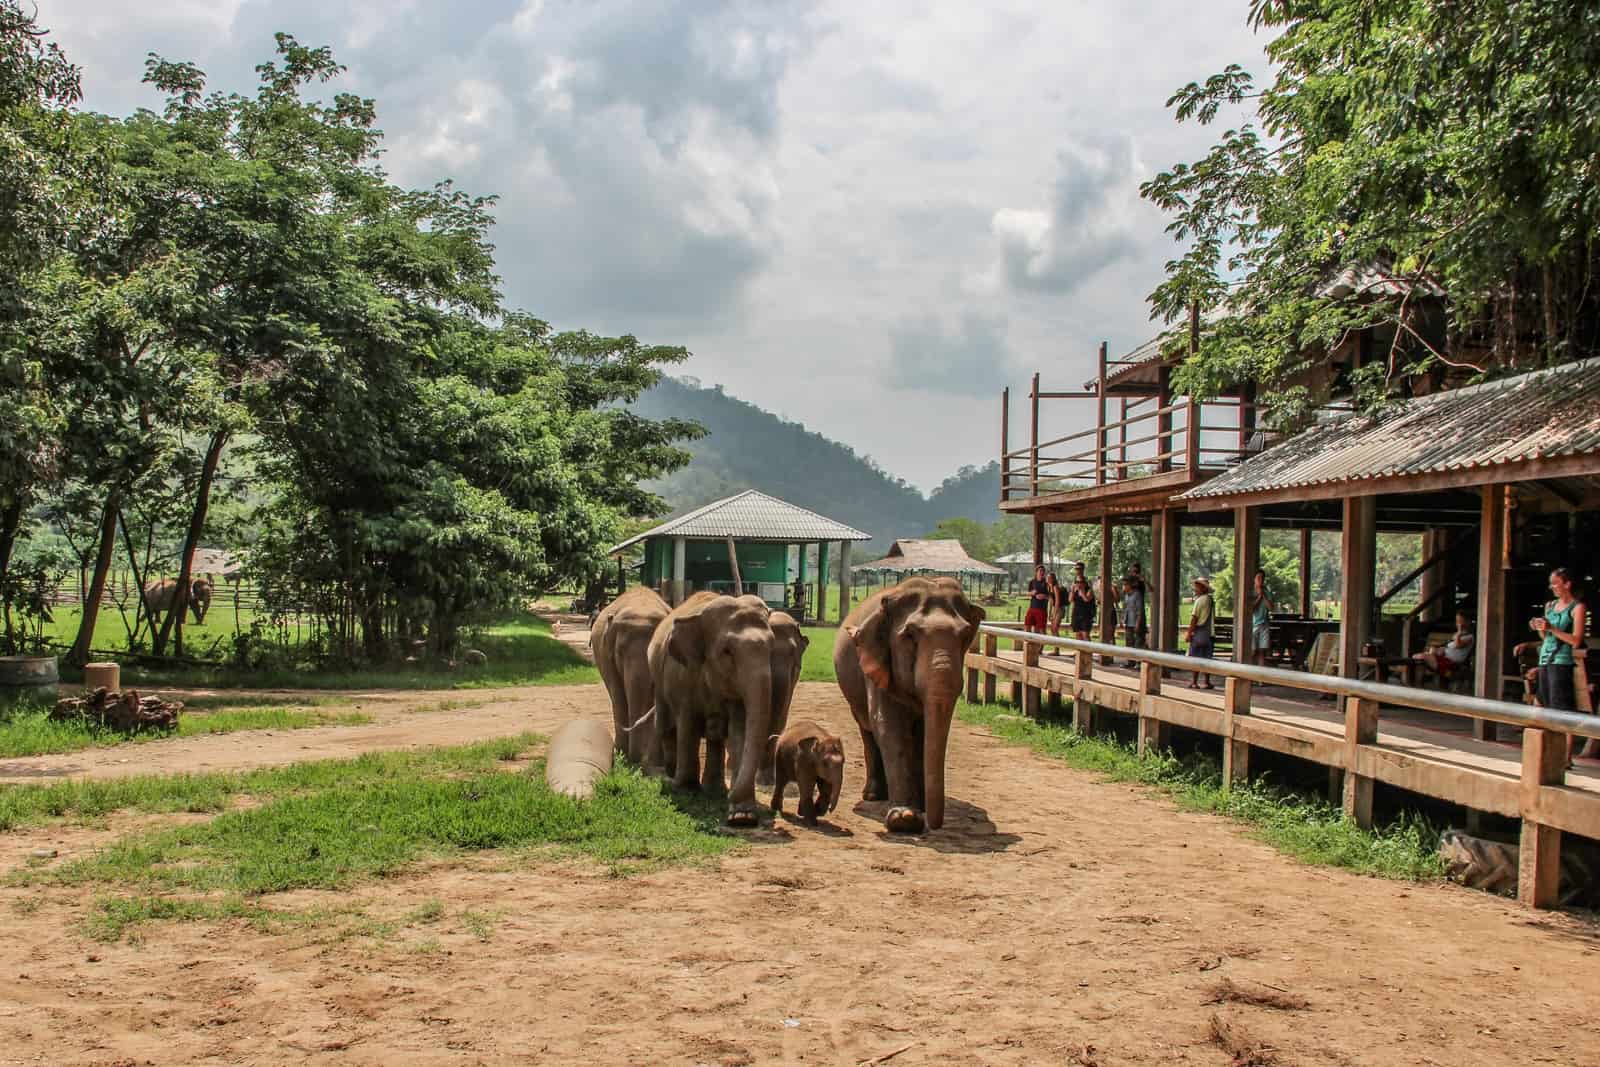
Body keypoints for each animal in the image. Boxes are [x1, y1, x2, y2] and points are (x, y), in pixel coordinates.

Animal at [588, 585, 668, 767]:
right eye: (620, 652)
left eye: (654, 652)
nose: (635, 761)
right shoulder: (607, 656)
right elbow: (618, 695)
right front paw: (622, 757)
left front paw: (655, 763)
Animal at [646, 591, 777, 825]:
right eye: (727, 651)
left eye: (771, 649)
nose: (731, 795)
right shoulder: (682, 676)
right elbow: (687, 724)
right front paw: (686, 789)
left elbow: (740, 731)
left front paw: (742, 817)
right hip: (658, 680)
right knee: (666, 725)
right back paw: (671, 775)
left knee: (715, 736)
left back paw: (713, 789)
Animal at [838, 575, 985, 831]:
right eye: (909, 636)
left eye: (965, 636)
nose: (935, 825)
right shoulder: (876, 665)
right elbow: (889, 726)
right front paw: (904, 819)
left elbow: (923, 732)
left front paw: (919, 808)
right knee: (867, 731)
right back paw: (874, 796)